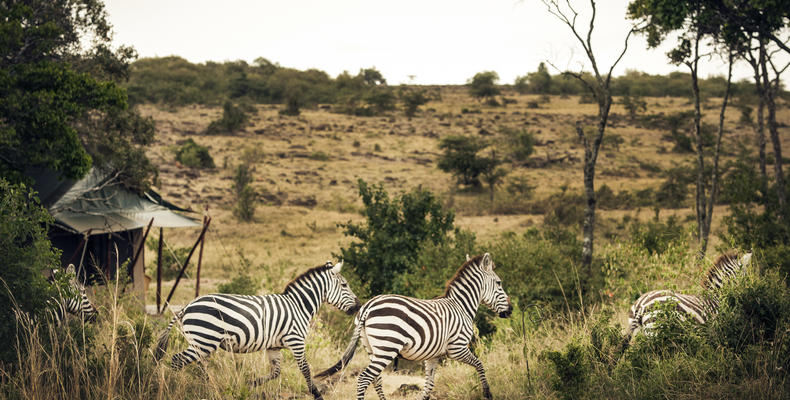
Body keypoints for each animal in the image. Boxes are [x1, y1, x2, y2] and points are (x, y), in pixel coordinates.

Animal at [152, 260, 362, 398]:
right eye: (344, 285)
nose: (359, 306)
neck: (298, 306)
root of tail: (187, 306)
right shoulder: (296, 341)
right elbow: (306, 370)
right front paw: (316, 394)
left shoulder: (274, 346)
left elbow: (276, 372)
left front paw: (251, 383)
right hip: (204, 340)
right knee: (177, 361)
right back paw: (174, 388)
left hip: (201, 343)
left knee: (197, 366)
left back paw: (208, 389)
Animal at [316, 253, 512, 400]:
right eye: (499, 283)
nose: (510, 310)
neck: (461, 306)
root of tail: (368, 306)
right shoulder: (457, 348)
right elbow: (480, 364)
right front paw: (487, 394)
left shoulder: (433, 356)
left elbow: (429, 385)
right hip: (387, 348)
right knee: (364, 378)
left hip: (372, 349)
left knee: (376, 380)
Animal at [620, 252, 756, 352]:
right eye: (746, 276)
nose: (750, 293)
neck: (716, 297)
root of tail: (641, 305)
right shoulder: (715, 331)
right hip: (655, 331)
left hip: (639, 333)